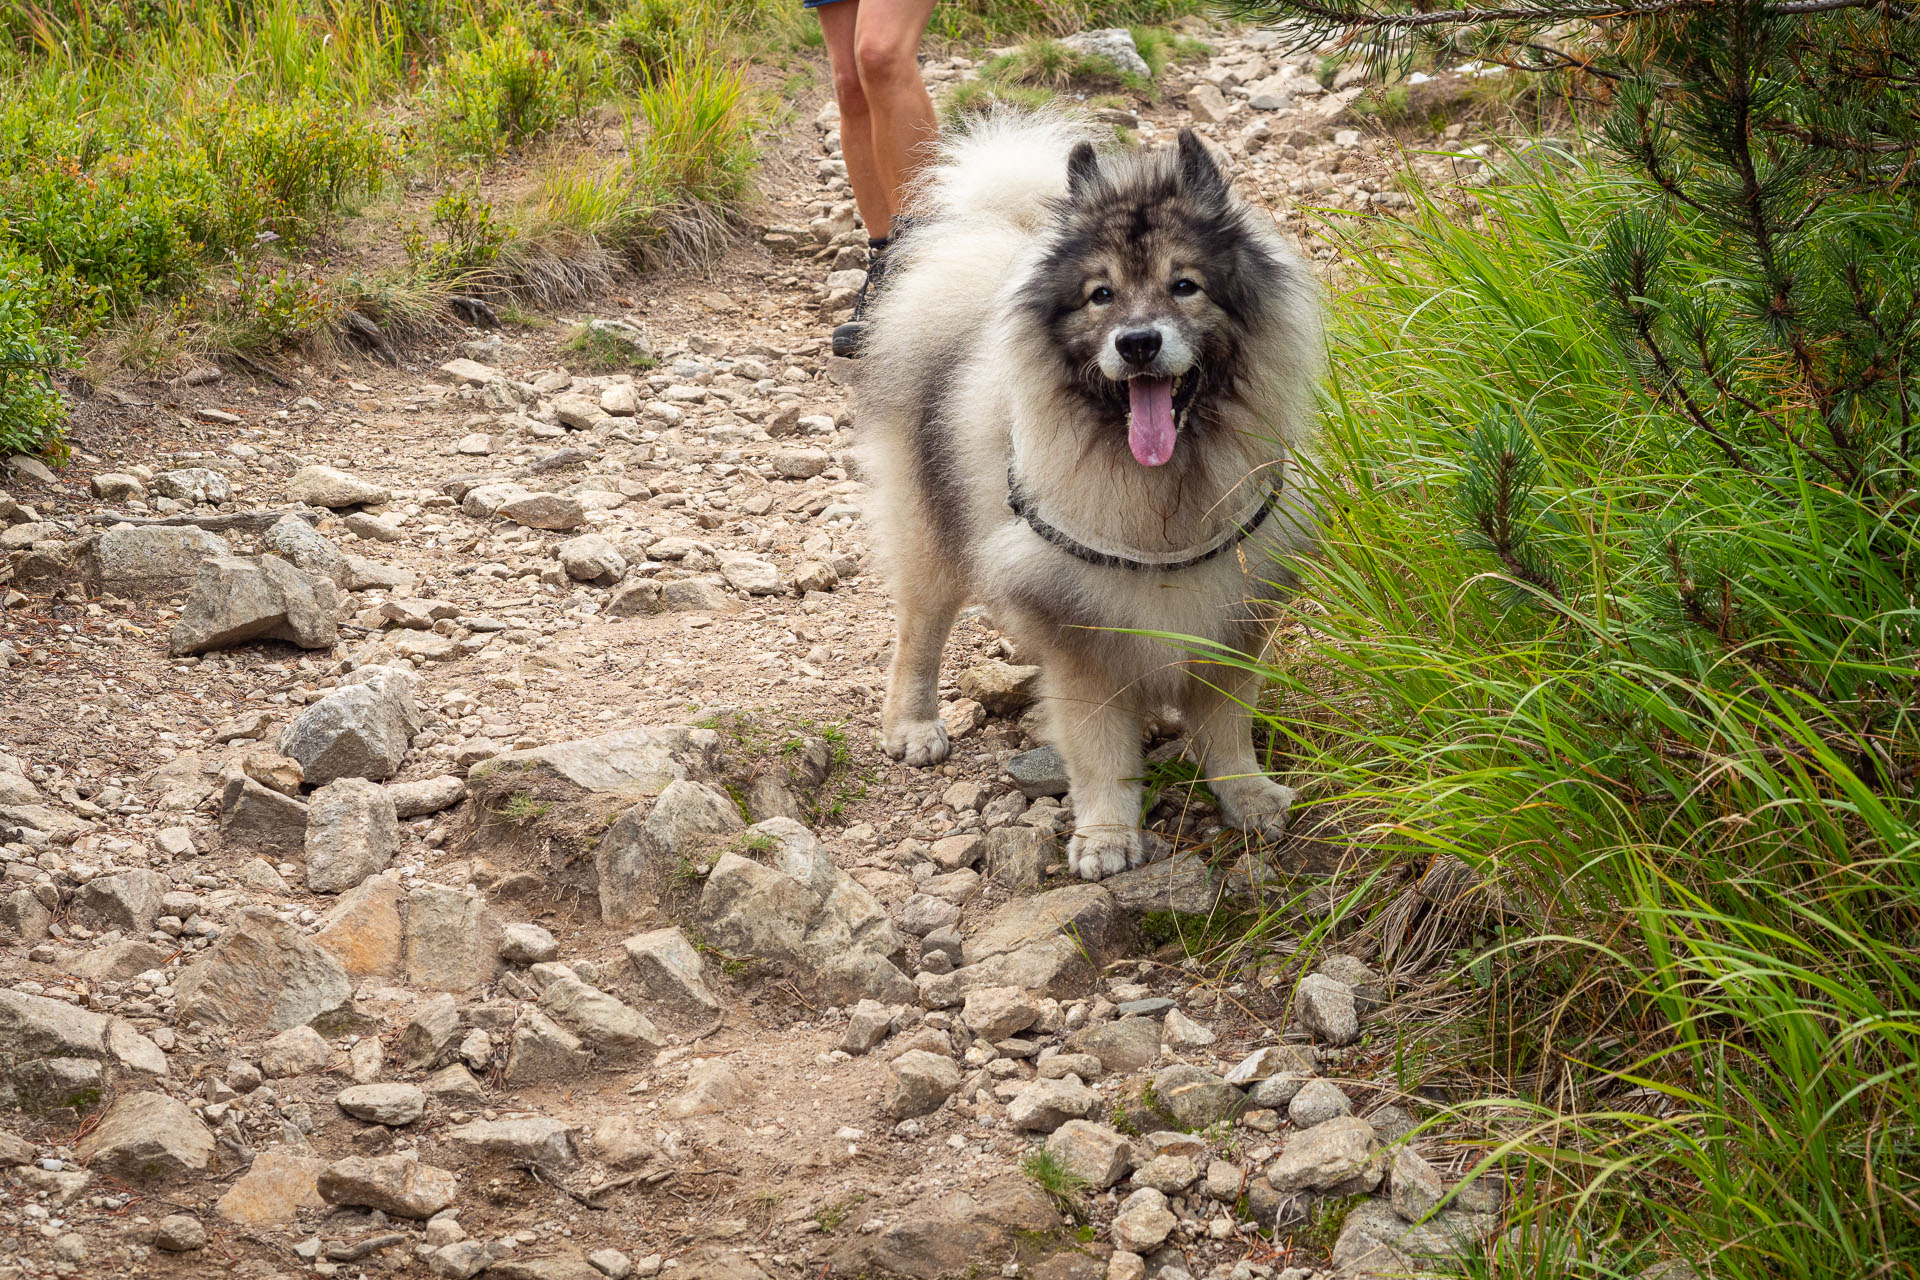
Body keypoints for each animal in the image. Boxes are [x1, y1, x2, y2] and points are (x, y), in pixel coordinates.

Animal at [856, 112, 1320, 882]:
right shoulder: (1081, 637)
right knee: (918, 636)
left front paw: (1247, 796)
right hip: (932, 540)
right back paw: (913, 726)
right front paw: (1106, 836)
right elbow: (1101, 749)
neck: (1163, 492)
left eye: (1184, 285)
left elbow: (1228, 725)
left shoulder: (1230, 612)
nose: (1138, 343)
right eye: (1101, 294)